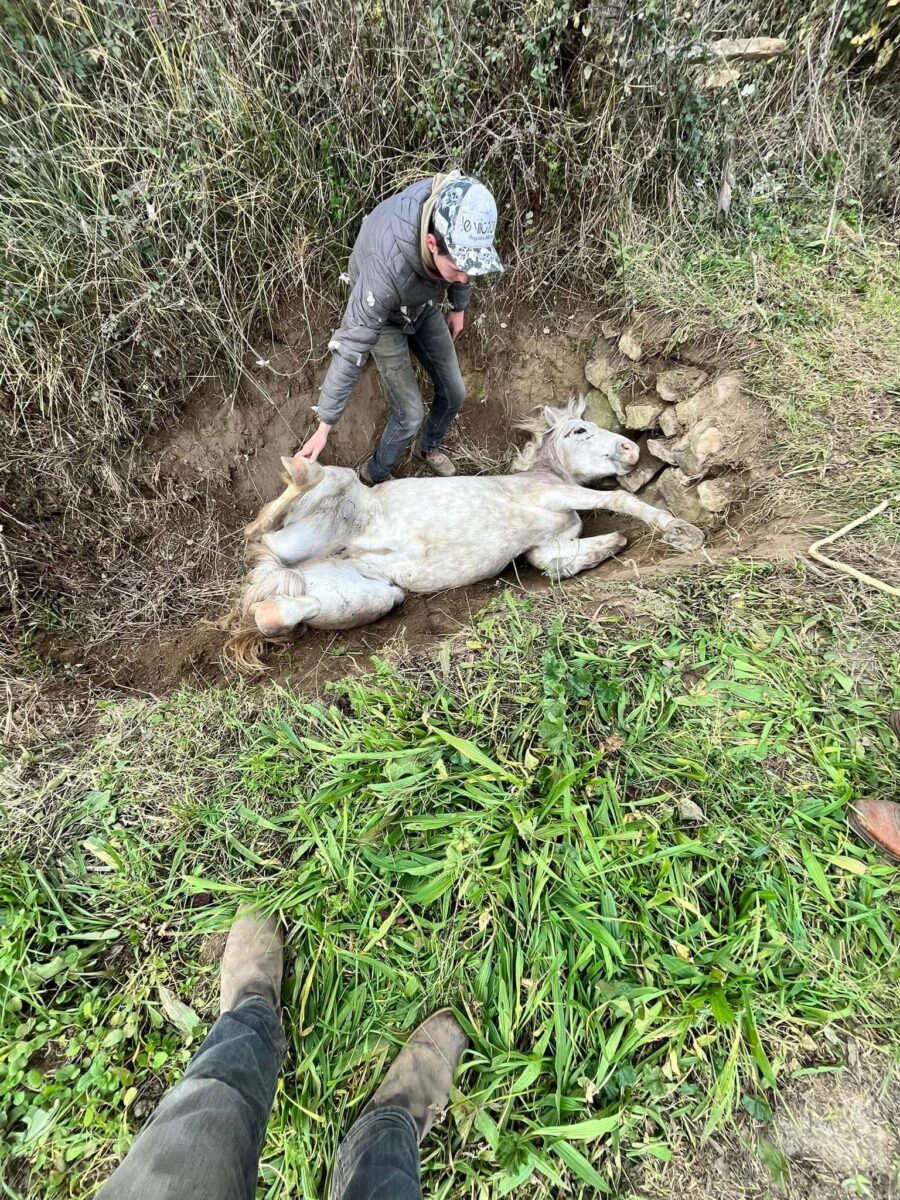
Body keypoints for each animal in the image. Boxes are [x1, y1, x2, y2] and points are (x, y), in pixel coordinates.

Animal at [230, 398, 705, 662]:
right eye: (579, 430)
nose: (629, 449)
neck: (544, 475)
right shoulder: (553, 496)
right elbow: (619, 500)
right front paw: (681, 532)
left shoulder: (547, 547)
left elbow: (562, 562)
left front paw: (619, 542)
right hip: (333, 496)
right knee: (262, 530)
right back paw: (296, 470)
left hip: (370, 597)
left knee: (273, 610)